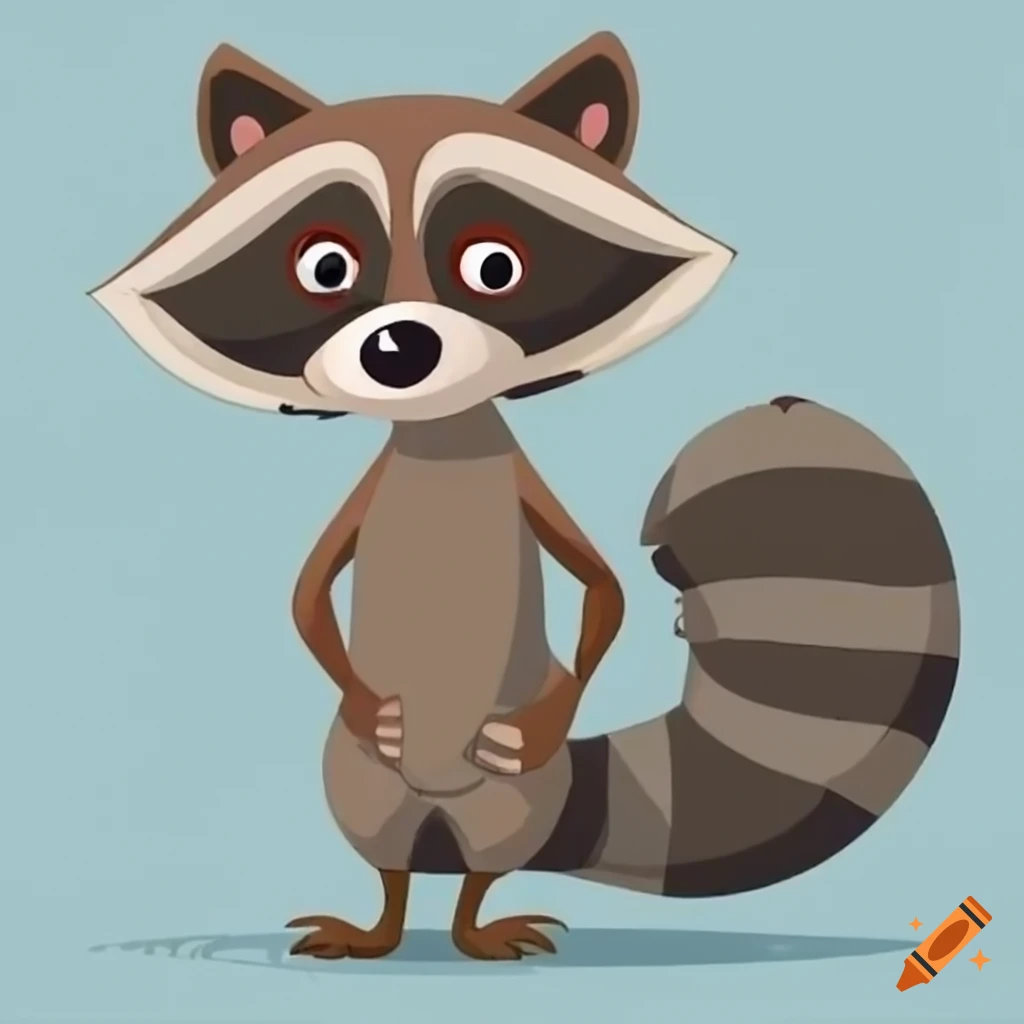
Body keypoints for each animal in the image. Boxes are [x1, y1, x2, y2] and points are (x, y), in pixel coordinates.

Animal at [90, 32, 958, 962]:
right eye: (324, 265)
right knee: (389, 863)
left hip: (515, 800)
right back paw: (381, 927)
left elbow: (601, 585)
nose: (402, 347)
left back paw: (474, 925)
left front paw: (548, 712)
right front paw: (367, 705)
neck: (439, 432)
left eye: (494, 264)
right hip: (360, 785)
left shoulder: (521, 484)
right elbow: (307, 591)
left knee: (482, 869)